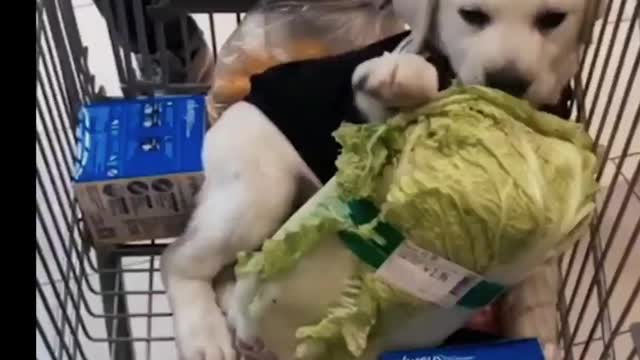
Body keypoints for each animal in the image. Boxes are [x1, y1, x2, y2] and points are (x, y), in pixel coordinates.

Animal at [162, 0, 604, 358]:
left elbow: (536, 293)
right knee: (179, 259)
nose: (507, 82)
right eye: (471, 15)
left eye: (552, 20)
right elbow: (398, 82)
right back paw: (204, 335)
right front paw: (400, 75)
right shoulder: (366, 120)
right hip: (258, 190)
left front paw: (542, 339)